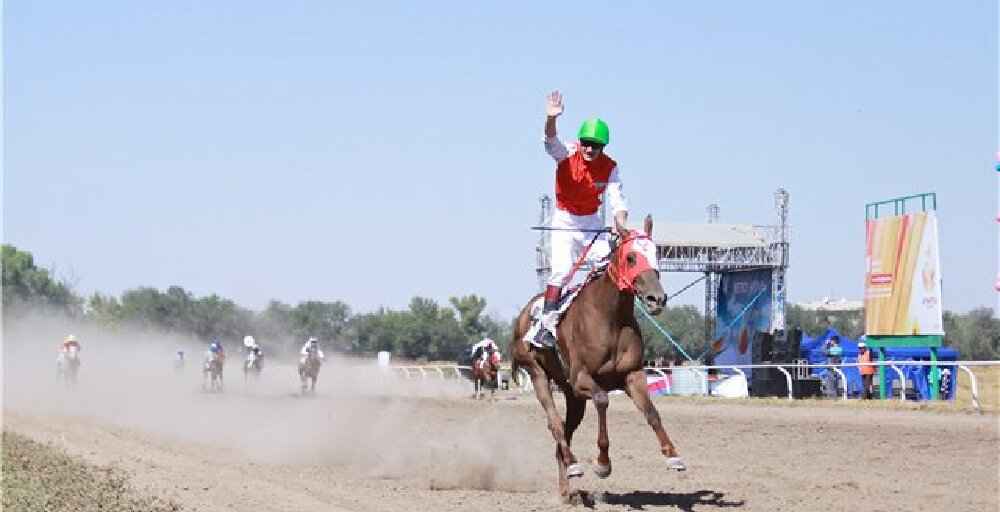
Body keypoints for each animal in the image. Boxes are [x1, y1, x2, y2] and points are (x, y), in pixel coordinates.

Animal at [512, 216, 684, 500]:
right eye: (631, 257)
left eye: (657, 254)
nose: (657, 299)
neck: (609, 317)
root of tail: (524, 315)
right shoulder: (582, 377)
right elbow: (603, 400)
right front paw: (603, 463)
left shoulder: (632, 375)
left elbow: (651, 412)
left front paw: (673, 456)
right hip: (538, 373)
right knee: (555, 424)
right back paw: (573, 465)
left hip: (573, 396)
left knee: (564, 433)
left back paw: (567, 488)